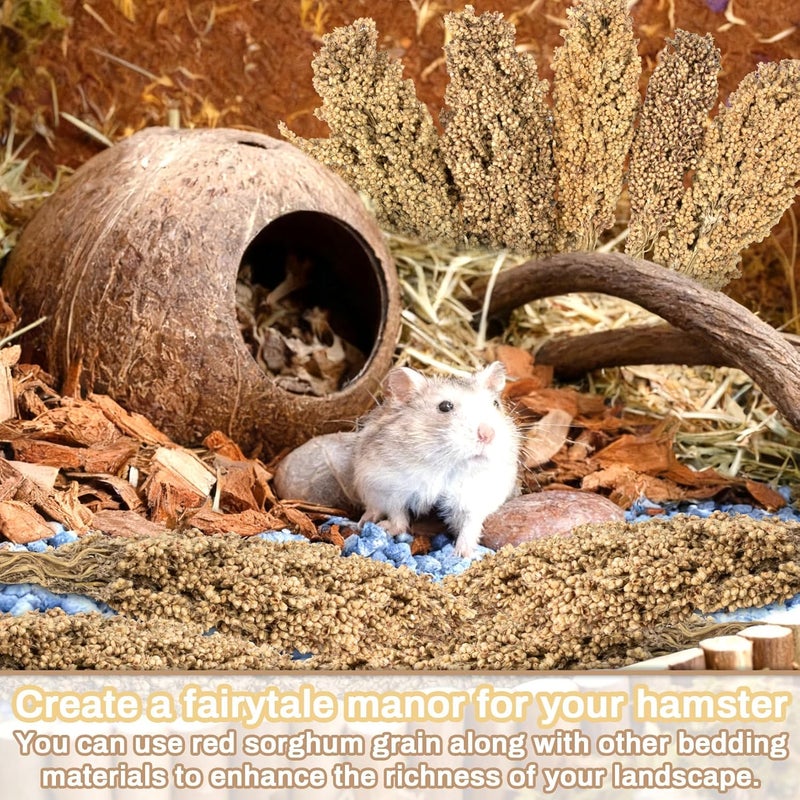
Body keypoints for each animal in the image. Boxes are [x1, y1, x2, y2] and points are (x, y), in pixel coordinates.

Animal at [353, 361, 520, 557]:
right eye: (445, 406)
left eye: (495, 404)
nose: (488, 434)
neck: (446, 464)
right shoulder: (389, 487)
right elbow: (397, 515)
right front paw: (385, 529)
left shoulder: (477, 496)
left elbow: (470, 525)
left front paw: (463, 554)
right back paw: (365, 521)